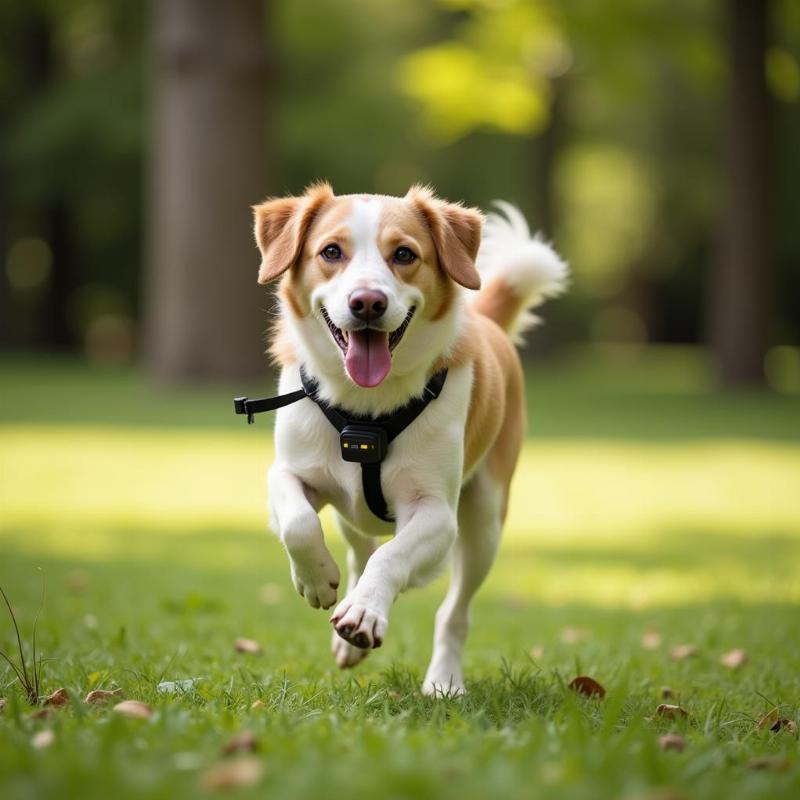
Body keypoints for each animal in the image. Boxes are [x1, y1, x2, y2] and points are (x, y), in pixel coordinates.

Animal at [253, 183, 564, 692]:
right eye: (331, 252)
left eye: (404, 254)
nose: (367, 302)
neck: (366, 408)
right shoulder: (290, 472)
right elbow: (299, 523)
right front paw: (318, 579)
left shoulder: (436, 513)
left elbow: (392, 557)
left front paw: (363, 611)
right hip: (353, 513)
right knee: (359, 545)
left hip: (484, 525)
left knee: (452, 611)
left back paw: (444, 680)